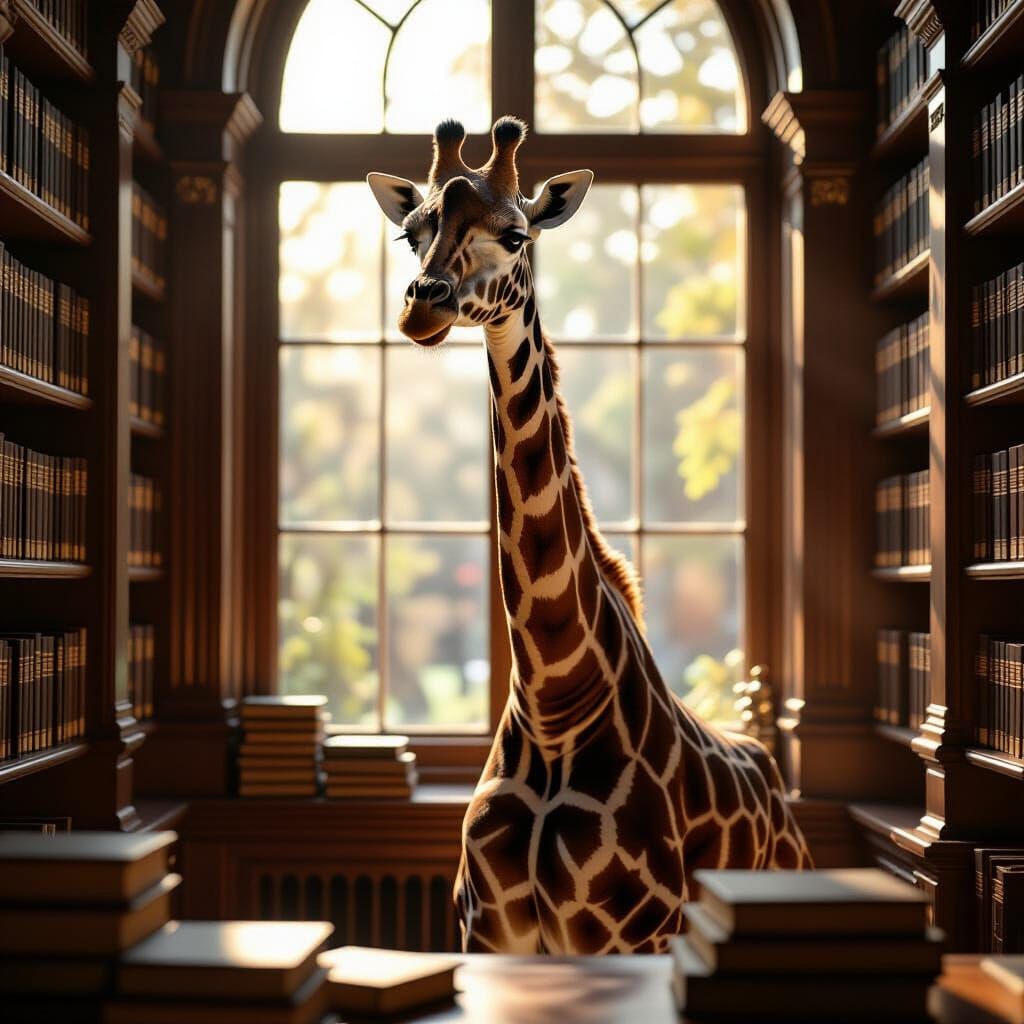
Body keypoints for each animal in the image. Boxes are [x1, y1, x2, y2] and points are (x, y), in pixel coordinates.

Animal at [368, 117, 812, 956]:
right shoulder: (487, 933)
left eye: (515, 233)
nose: (421, 307)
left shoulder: (628, 939)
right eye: (413, 233)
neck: (553, 702)